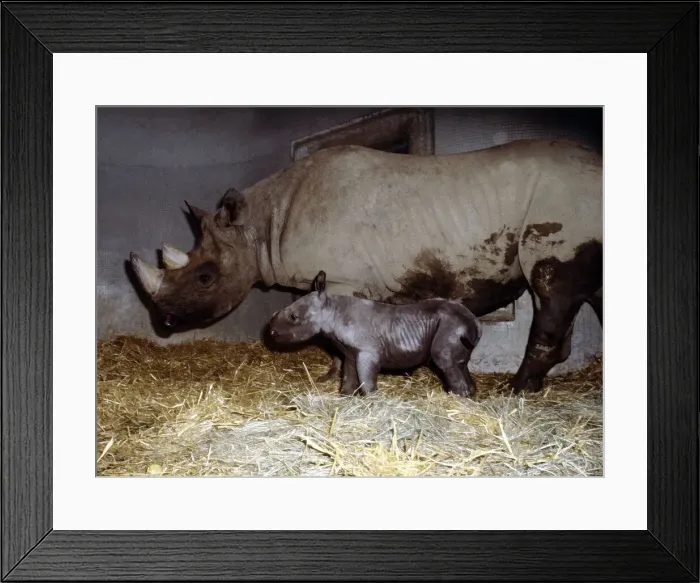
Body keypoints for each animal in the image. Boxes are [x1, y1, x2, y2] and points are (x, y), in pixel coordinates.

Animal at [130, 139, 602, 394]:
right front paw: (329, 380)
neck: (260, 226)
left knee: (551, 290)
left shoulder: (344, 277)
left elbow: (344, 342)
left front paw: (341, 383)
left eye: (205, 277)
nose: (164, 321)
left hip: (562, 205)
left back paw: (515, 392)